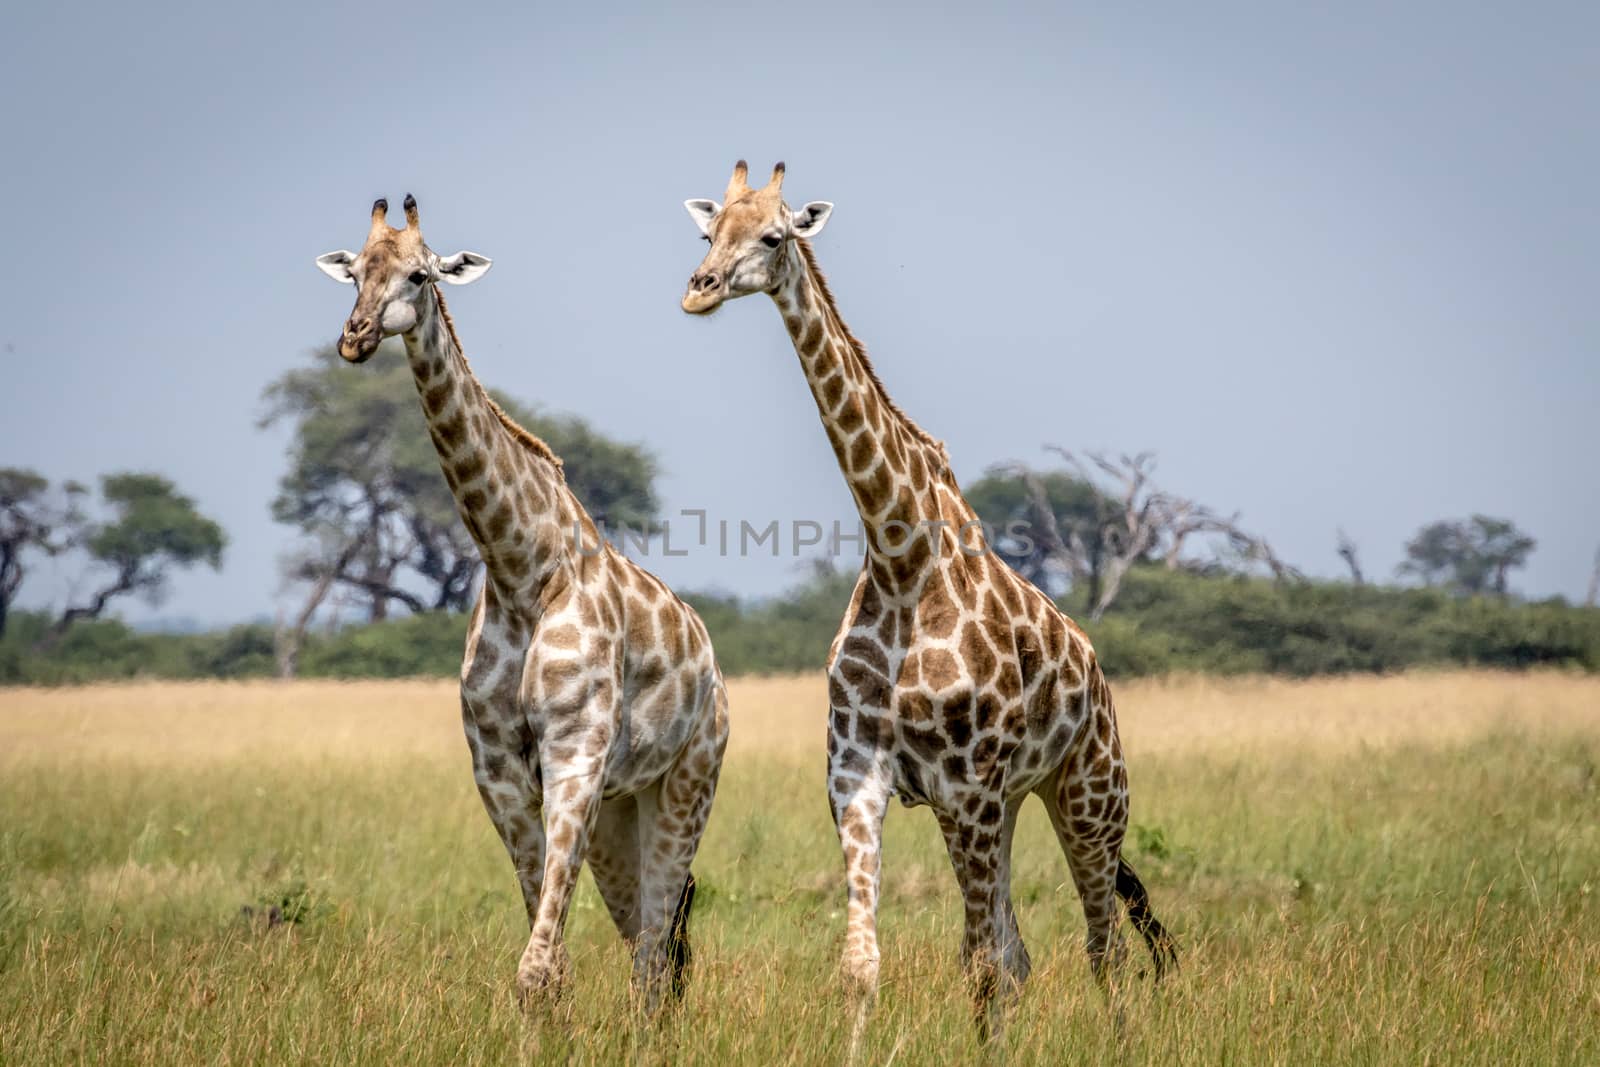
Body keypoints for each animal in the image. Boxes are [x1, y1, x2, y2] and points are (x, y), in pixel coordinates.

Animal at [318, 195, 732, 1017]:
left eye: (419, 273)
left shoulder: (575, 751)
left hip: (688, 780)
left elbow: (537, 967)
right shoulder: (498, 767)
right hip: (622, 807)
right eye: (354, 270)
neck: (520, 570)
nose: (355, 337)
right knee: (649, 938)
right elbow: (551, 963)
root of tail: (712, 662)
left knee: (654, 943)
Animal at [678, 164, 1177, 1043]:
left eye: (773, 235)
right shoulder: (859, 776)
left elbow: (978, 965)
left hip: (1088, 791)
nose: (698, 291)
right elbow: (864, 965)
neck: (902, 555)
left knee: (1102, 947)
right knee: (1023, 953)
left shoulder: (969, 784)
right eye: (708, 233)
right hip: (1008, 802)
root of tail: (1095, 668)